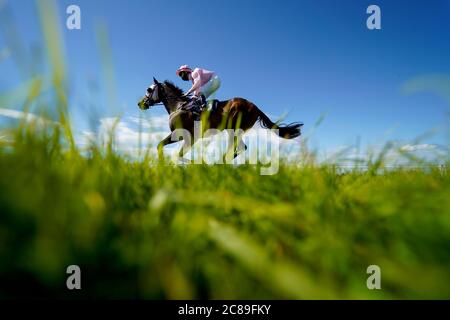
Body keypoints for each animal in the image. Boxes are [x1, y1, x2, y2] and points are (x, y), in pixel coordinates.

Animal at [137, 78, 302, 162]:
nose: (140, 103)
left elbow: (173, 153)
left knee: (238, 148)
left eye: (149, 89)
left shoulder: (185, 136)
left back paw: (219, 163)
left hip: (234, 129)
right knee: (240, 148)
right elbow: (164, 147)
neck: (179, 105)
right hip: (233, 130)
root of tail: (255, 107)